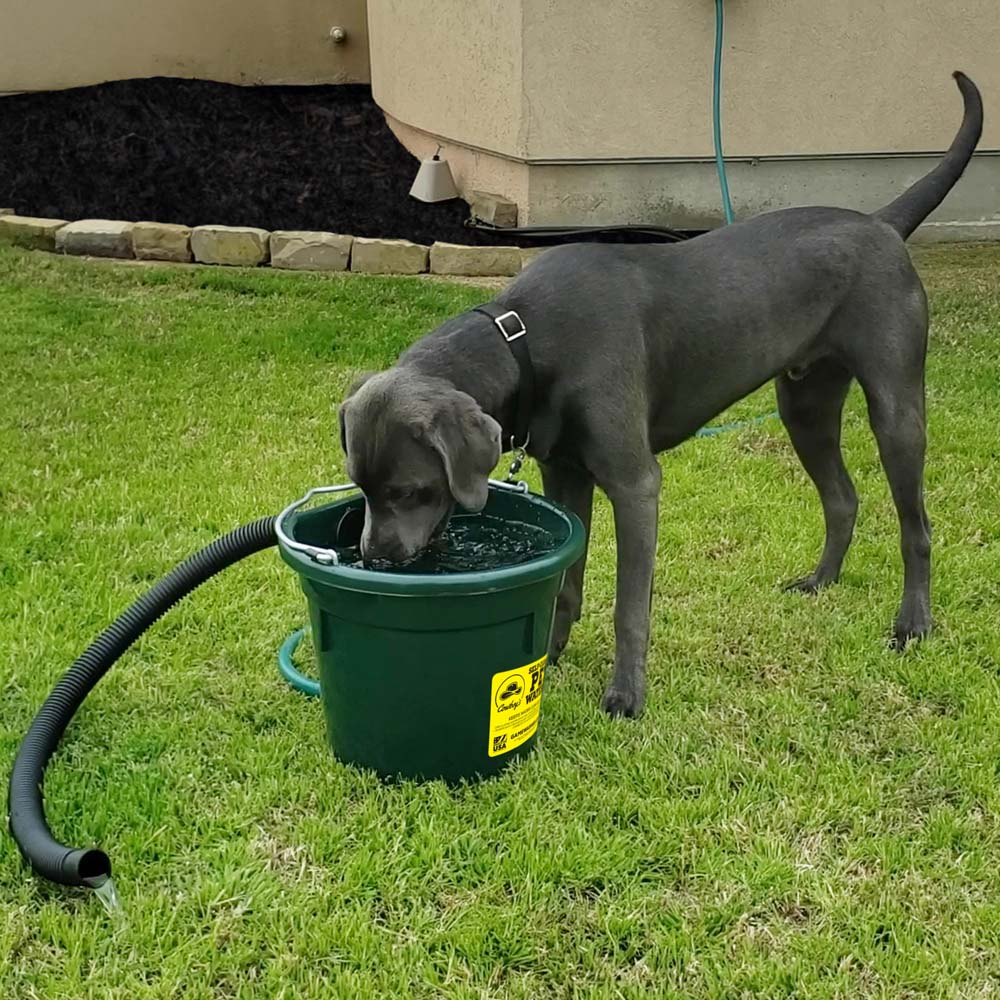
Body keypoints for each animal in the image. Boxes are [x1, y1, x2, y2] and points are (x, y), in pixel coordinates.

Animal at [340, 76, 980, 720]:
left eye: (411, 491)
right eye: (361, 488)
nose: (374, 558)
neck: (523, 339)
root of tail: (881, 224)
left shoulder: (635, 484)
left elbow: (630, 605)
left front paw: (626, 693)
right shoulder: (565, 473)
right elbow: (568, 581)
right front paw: (550, 656)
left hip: (895, 407)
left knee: (916, 524)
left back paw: (912, 623)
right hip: (804, 403)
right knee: (843, 498)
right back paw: (819, 581)